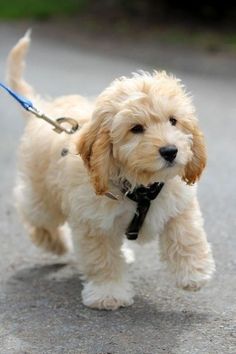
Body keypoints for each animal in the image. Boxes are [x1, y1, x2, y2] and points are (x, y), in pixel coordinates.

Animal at [7, 33, 215, 310]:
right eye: (136, 129)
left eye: (173, 121)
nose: (171, 151)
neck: (140, 187)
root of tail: (44, 109)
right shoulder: (93, 223)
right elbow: (102, 259)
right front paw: (108, 293)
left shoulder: (178, 202)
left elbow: (186, 234)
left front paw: (194, 272)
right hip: (43, 198)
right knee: (32, 212)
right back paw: (58, 243)